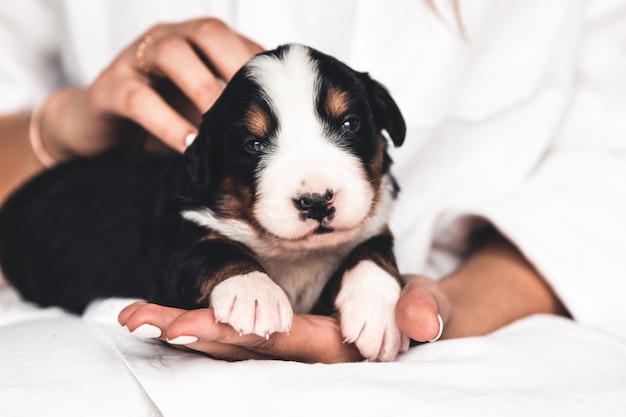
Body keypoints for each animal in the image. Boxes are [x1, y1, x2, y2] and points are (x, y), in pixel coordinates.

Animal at [0, 43, 408, 360]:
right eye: (253, 145)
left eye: (349, 124)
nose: (316, 201)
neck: (295, 254)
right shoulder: (171, 256)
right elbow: (211, 250)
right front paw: (254, 293)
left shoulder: (373, 225)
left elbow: (373, 249)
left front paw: (378, 312)